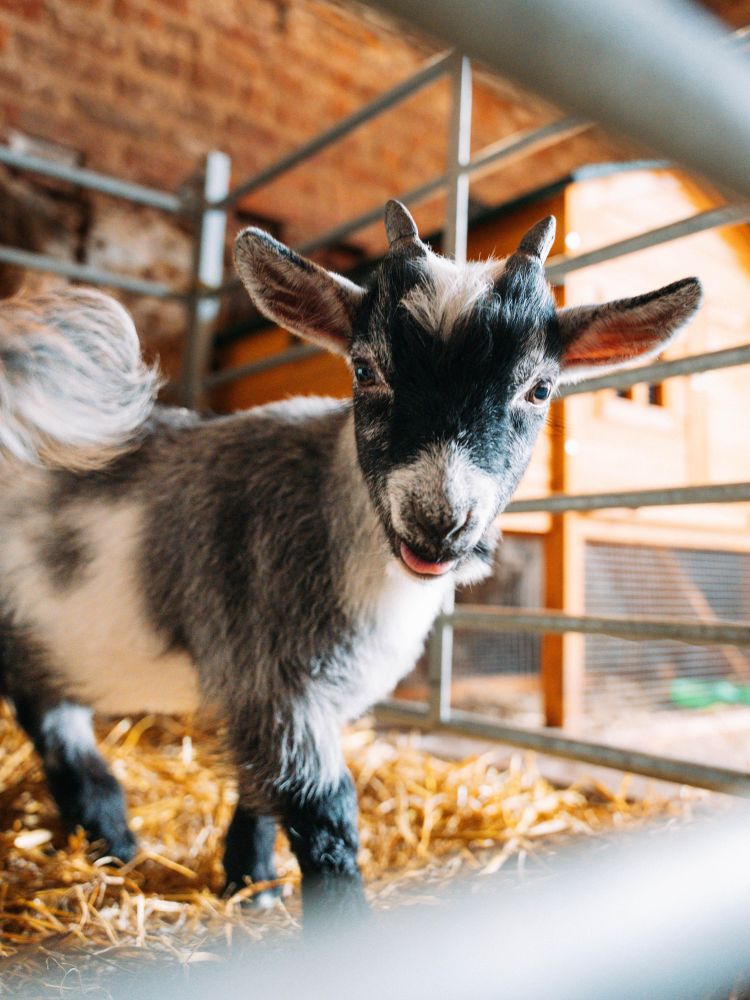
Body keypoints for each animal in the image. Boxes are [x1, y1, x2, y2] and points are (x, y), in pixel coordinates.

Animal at [0, 202, 702, 917]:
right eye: (365, 370)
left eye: (539, 390)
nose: (438, 523)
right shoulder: (271, 671)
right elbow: (324, 812)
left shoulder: (286, 697)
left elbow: (260, 794)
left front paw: (251, 885)